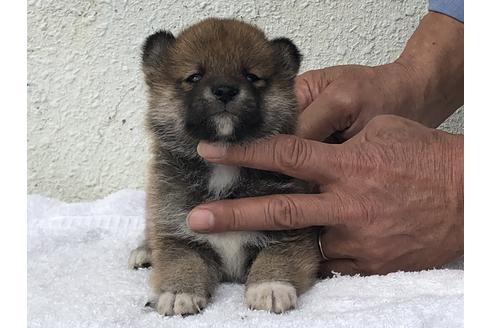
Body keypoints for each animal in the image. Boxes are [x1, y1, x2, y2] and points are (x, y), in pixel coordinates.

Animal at [129, 18, 320, 316]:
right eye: (194, 77)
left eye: (251, 76)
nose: (225, 90)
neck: (223, 167)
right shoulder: (177, 232)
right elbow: (182, 262)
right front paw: (179, 292)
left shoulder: (289, 231)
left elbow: (276, 257)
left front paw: (270, 287)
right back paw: (144, 251)